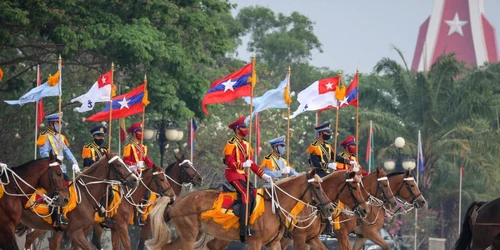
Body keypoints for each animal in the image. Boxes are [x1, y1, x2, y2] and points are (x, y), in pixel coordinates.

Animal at [146, 168, 338, 250]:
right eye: (318, 187)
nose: (330, 209)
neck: (275, 206)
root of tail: (176, 202)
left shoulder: (274, 243)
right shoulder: (255, 242)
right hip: (189, 236)